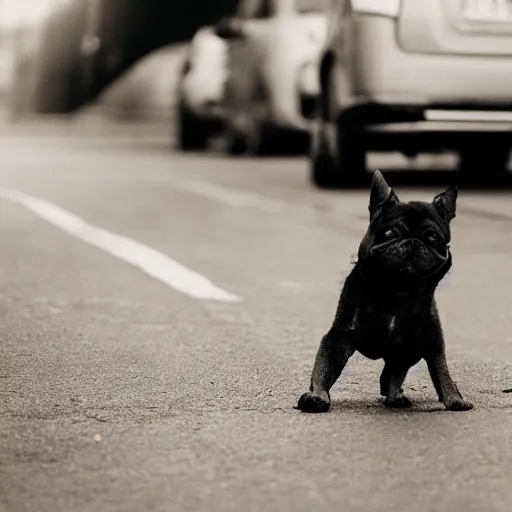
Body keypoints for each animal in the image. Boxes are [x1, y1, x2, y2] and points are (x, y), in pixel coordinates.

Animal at [298, 171, 474, 412]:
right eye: (390, 233)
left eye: (433, 239)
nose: (413, 242)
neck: (396, 290)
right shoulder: (338, 338)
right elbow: (324, 368)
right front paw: (317, 396)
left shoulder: (428, 340)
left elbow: (441, 371)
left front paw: (454, 399)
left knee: (392, 372)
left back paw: (395, 395)